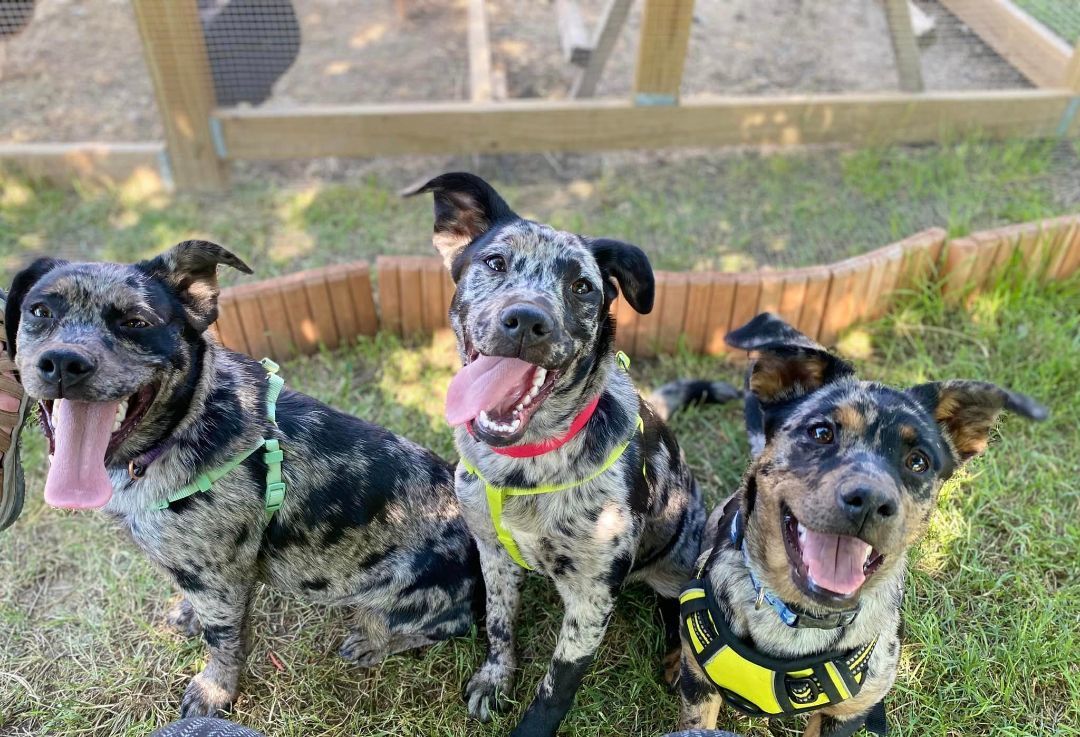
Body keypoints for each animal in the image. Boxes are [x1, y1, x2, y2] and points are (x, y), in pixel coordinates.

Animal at [3, 240, 486, 717]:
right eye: (39, 311)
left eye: (136, 322)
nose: (63, 361)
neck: (184, 428)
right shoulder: (202, 575)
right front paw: (188, 617)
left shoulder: (218, 580)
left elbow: (223, 640)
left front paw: (215, 691)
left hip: (393, 598)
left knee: (446, 624)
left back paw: (373, 643)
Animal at [406, 173, 734, 734]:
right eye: (495, 261)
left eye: (582, 286)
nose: (526, 320)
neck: (524, 466)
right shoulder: (494, 554)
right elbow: (500, 624)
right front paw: (495, 679)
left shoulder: (592, 594)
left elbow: (558, 683)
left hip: (679, 558)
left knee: (677, 612)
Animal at [656, 311, 1045, 734]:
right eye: (821, 432)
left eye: (918, 461)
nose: (871, 501)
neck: (798, 619)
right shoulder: (701, 691)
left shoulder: (845, 715)